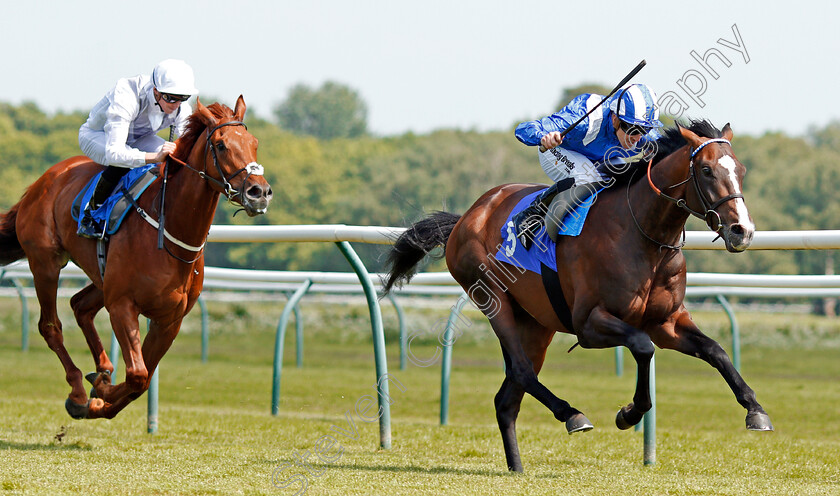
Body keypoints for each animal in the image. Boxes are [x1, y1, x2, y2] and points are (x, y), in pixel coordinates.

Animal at [0, 98, 272, 422]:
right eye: (220, 145)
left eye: (255, 143)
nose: (259, 192)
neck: (168, 231)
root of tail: (42, 182)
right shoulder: (122, 305)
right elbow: (138, 375)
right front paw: (97, 394)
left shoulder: (170, 319)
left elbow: (142, 380)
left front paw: (101, 394)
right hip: (46, 263)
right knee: (50, 326)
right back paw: (78, 390)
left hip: (102, 277)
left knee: (80, 305)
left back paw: (102, 369)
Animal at [384, 121, 772, 472]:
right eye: (706, 170)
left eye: (741, 169)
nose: (742, 230)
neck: (641, 234)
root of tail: (469, 214)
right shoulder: (590, 324)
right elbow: (642, 346)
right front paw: (629, 413)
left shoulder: (667, 322)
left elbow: (715, 350)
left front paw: (755, 410)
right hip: (493, 298)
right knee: (522, 370)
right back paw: (571, 414)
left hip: (536, 324)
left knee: (507, 399)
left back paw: (517, 467)